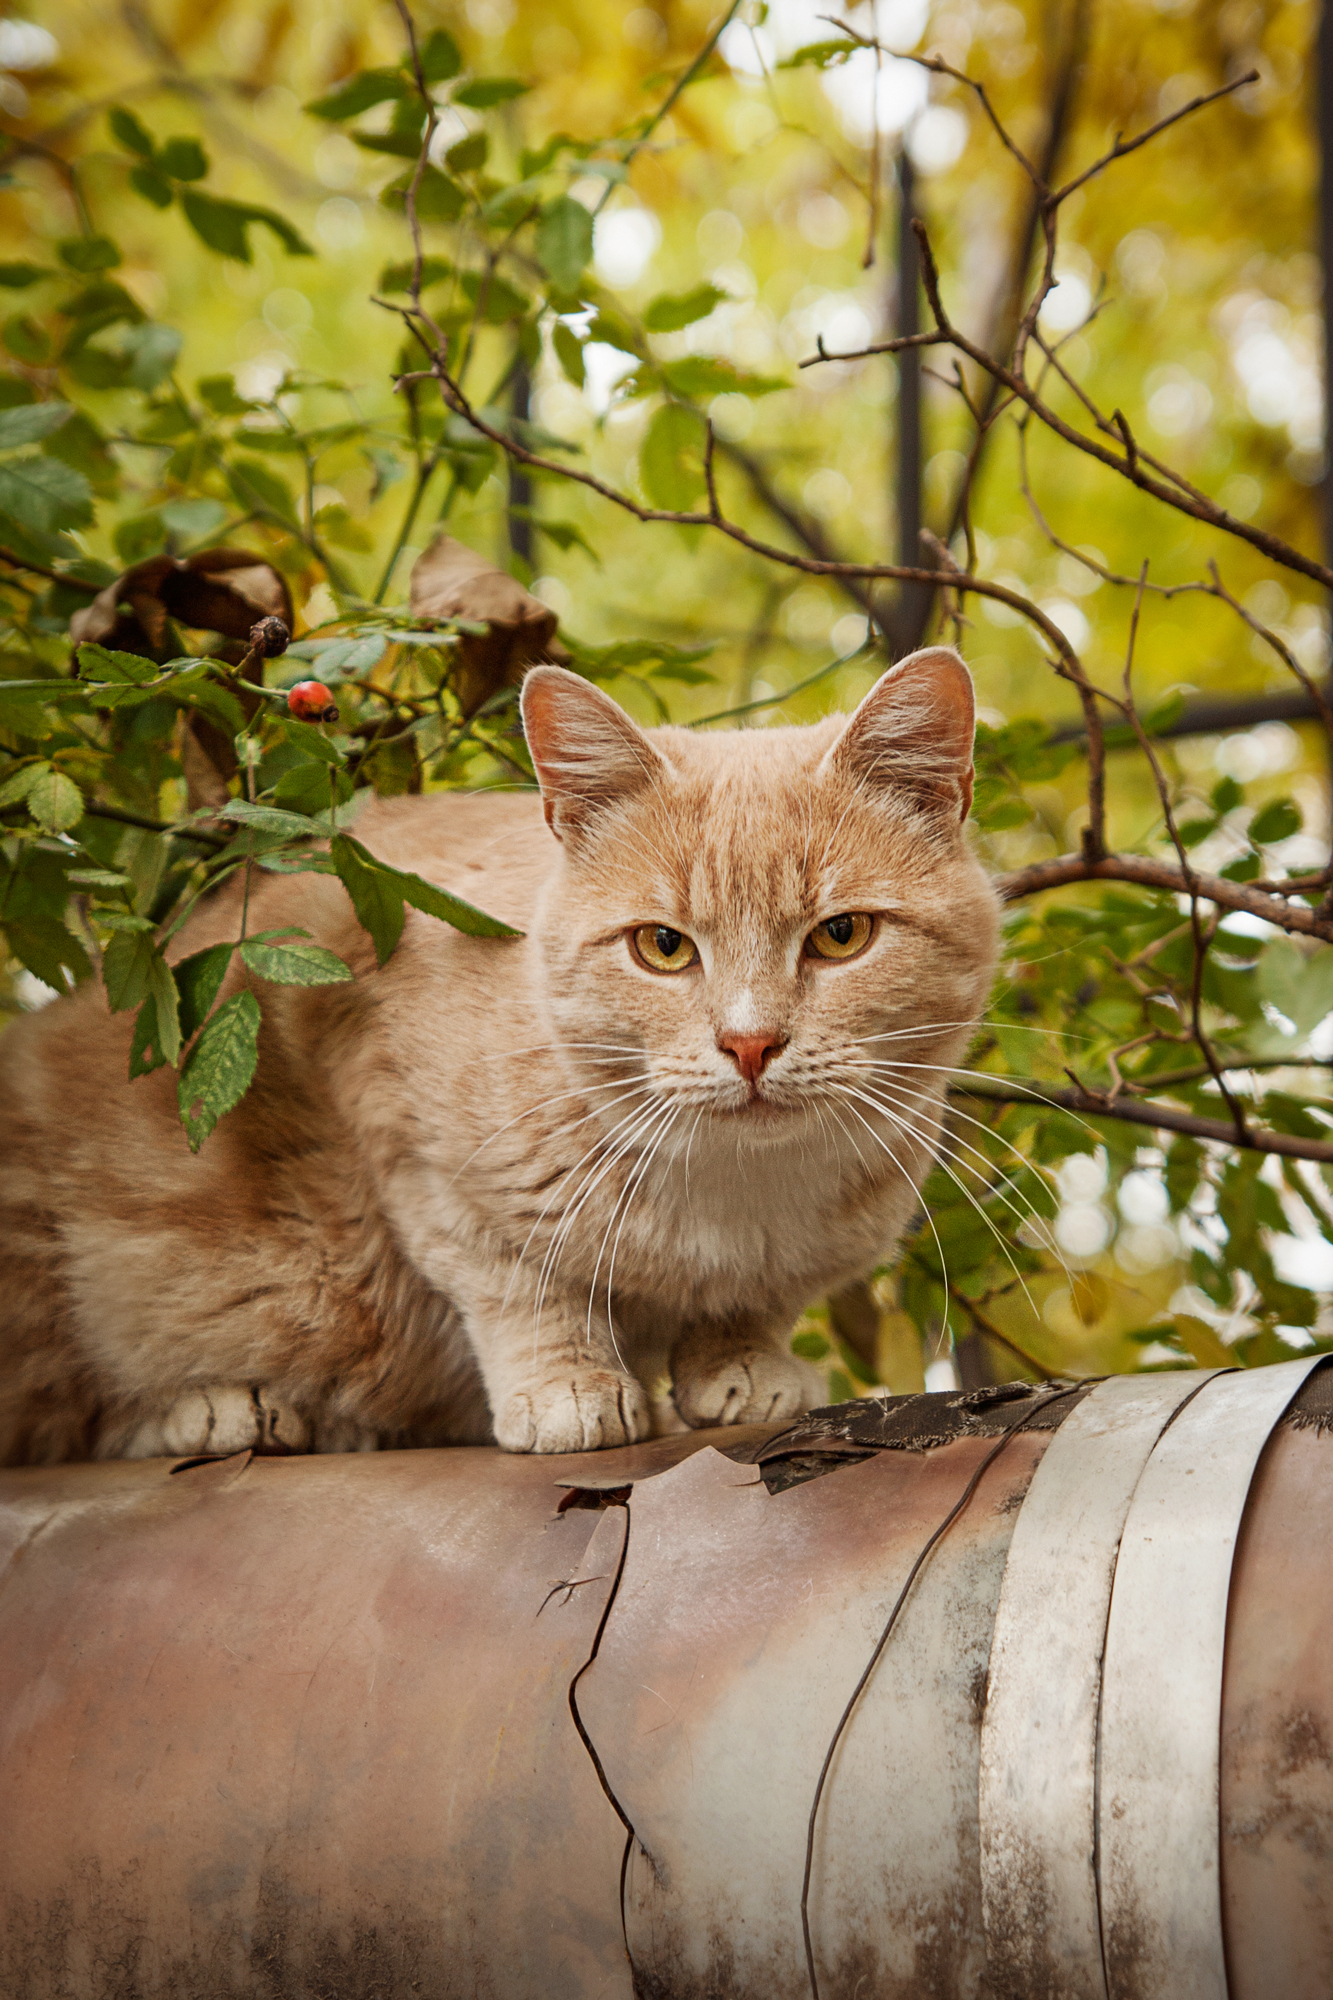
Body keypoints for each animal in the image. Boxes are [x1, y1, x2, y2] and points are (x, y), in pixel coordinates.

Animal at [0, 648, 996, 1464]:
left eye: (841, 935)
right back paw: (217, 1408)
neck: (735, 1191)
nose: (749, 1044)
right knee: (87, 1411)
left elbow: (752, 1307)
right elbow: (515, 1285)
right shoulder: (403, 1129)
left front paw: (741, 1363)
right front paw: (567, 1386)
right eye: (663, 948)